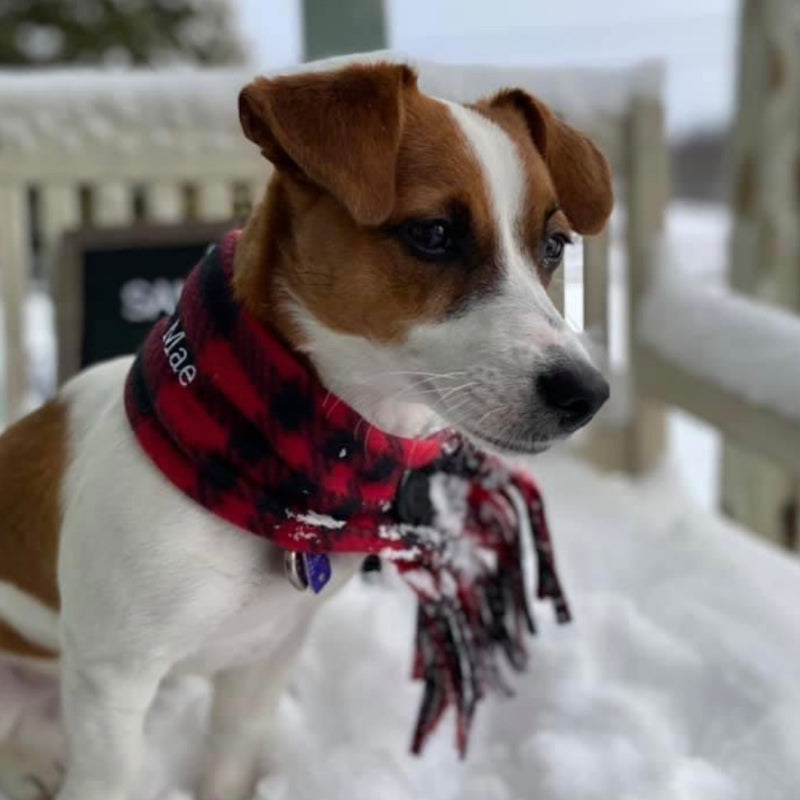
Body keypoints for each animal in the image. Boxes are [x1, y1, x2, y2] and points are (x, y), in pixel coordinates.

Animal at [0, 64, 612, 800]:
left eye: (554, 246)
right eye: (433, 233)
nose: (587, 394)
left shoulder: (267, 651)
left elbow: (231, 753)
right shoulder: (112, 676)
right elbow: (110, 778)